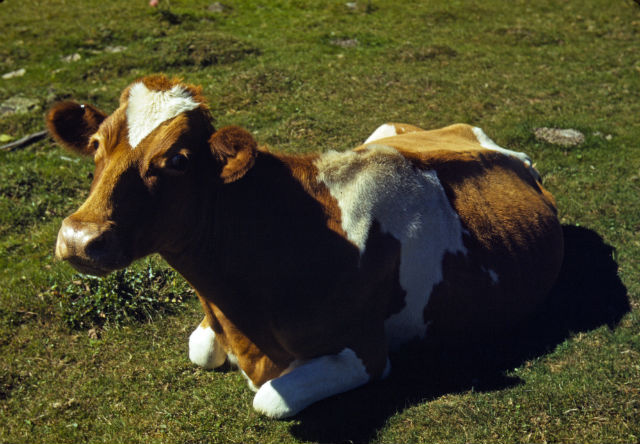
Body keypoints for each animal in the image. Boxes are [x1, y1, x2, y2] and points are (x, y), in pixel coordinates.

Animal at [47, 74, 564, 418]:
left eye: (177, 160)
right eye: (97, 144)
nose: (79, 238)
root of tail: (500, 148)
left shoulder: (366, 353)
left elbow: (269, 399)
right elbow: (201, 348)